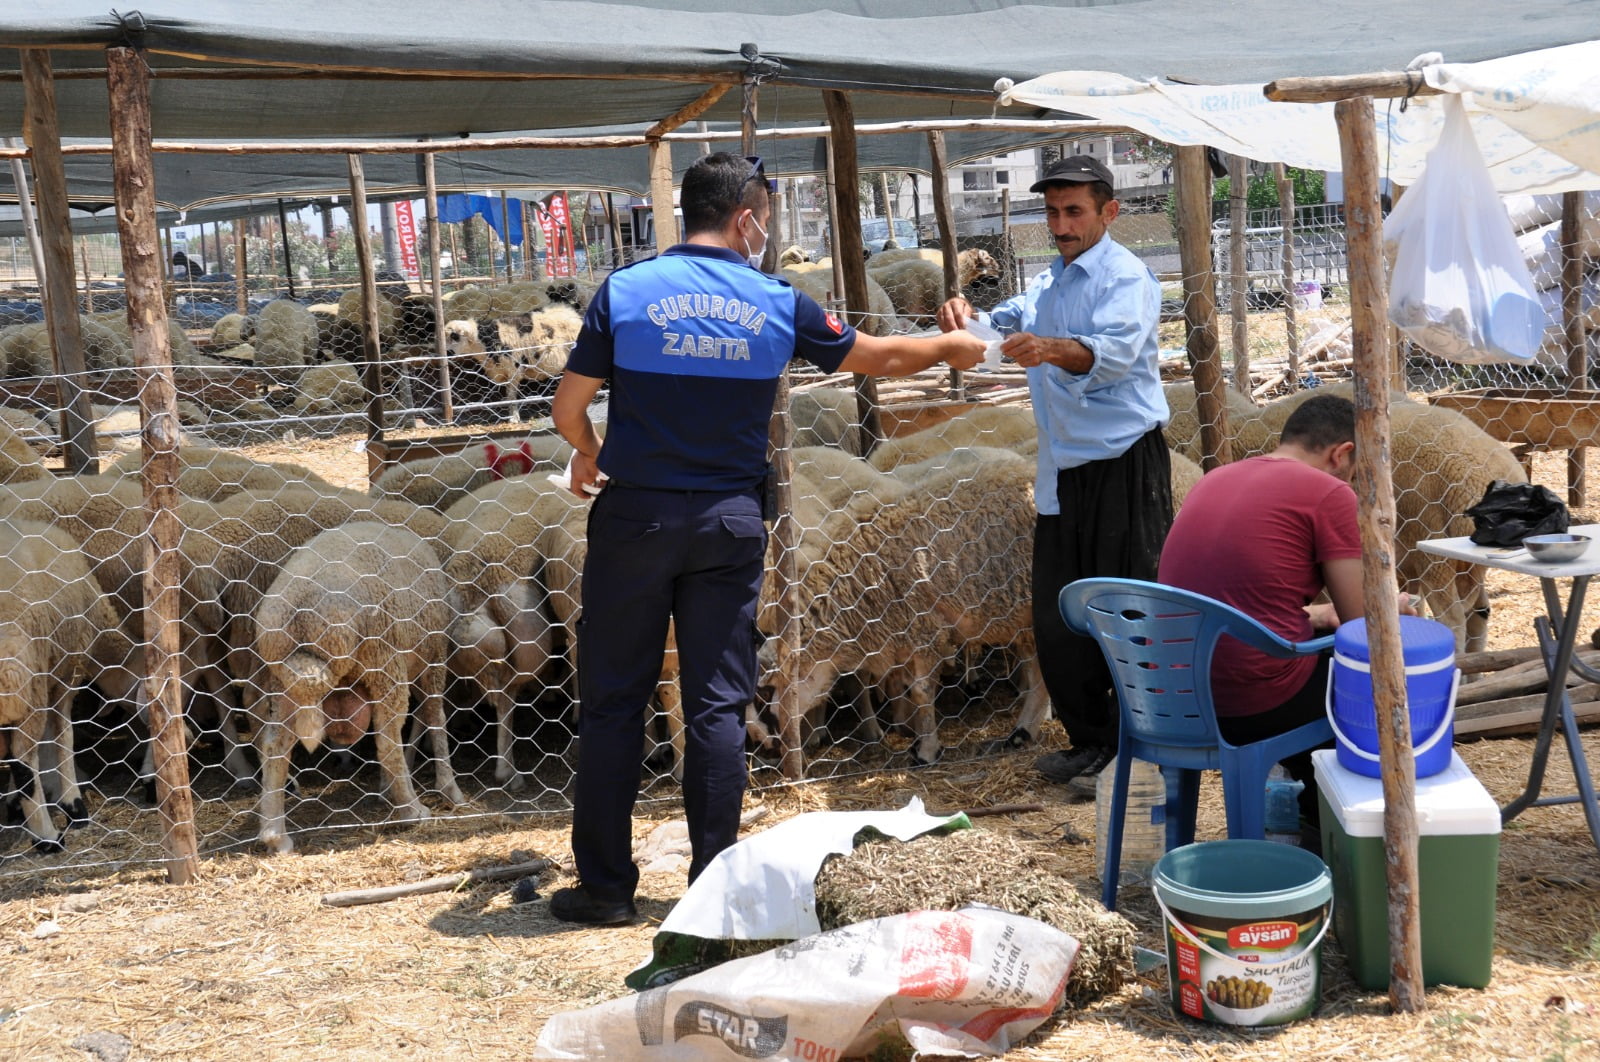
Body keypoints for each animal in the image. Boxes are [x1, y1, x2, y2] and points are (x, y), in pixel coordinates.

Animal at [0, 518, 131, 850]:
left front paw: (13, 805)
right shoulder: (65, 672)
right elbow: (62, 736)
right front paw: (72, 803)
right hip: (26, 680)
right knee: (23, 759)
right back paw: (47, 837)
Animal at [251, 521, 464, 857]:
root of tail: (297, 615)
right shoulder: (433, 656)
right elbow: (435, 718)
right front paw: (449, 789)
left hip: (284, 682)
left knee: (275, 746)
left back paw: (275, 835)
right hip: (383, 658)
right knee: (387, 737)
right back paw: (412, 809)